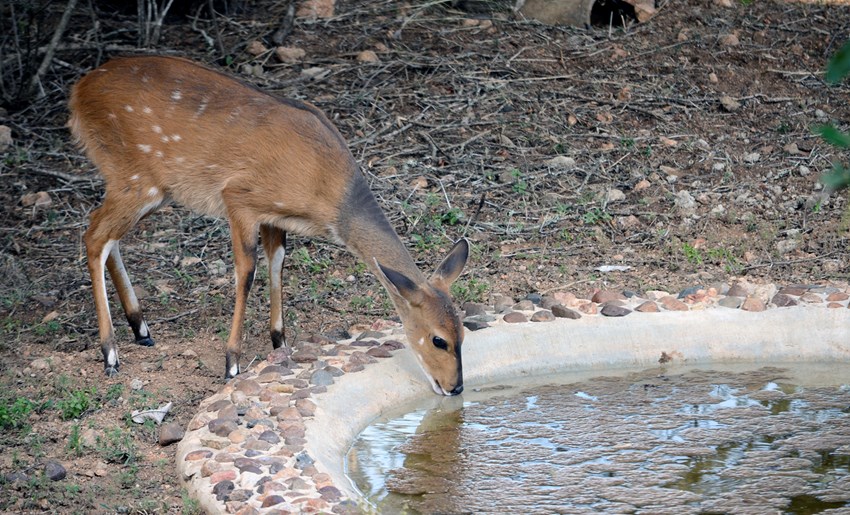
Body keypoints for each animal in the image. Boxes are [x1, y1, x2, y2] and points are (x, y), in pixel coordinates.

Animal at [71, 55, 470, 396]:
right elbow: (246, 272)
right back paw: (110, 354)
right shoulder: (239, 198)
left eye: (464, 331)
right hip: (136, 177)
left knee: (106, 235)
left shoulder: (274, 217)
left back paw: (141, 328)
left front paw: (281, 342)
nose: (456, 387)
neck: (329, 189)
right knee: (94, 236)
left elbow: (277, 262)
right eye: (439, 339)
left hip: (144, 187)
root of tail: (77, 92)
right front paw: (232, 363)